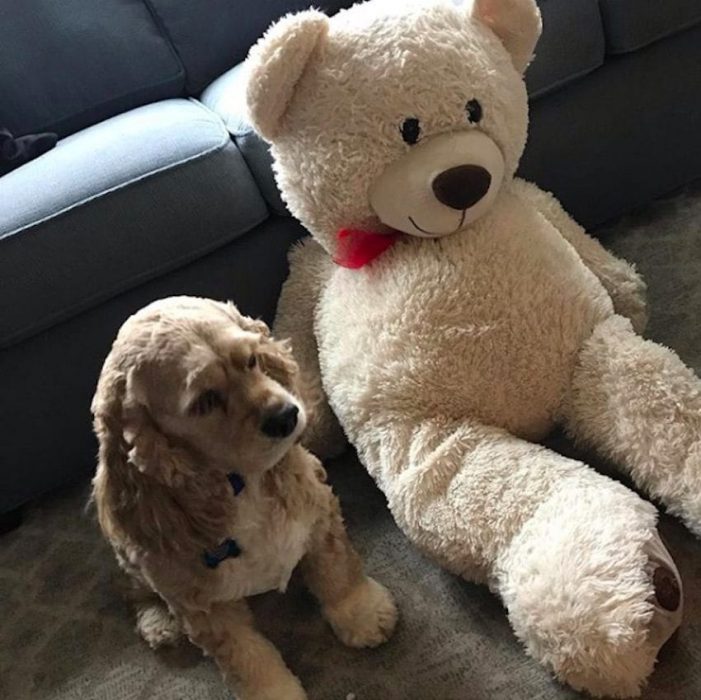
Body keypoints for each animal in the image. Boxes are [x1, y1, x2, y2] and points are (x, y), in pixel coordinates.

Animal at [90, 296, 396, 700]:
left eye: (251, 360)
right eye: (205, 400)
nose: (286, 415)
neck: (240, 485)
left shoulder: (318, 513)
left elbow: (337, 571)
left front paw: (364, 614)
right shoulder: (203, 604)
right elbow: (247, 656)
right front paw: (275, 691)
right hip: (132, 563)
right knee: (129, 590)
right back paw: (158, 624)